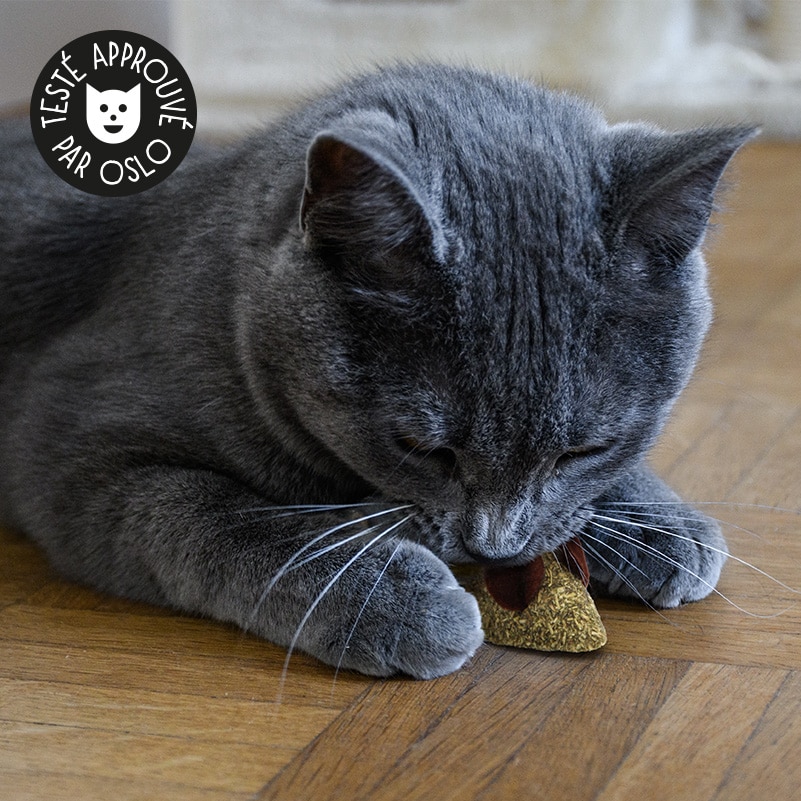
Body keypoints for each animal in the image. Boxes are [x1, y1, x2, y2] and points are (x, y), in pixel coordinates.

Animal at [0, 65, 752, 676]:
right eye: (421, 446)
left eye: (585, 449)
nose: (493, 547)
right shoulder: (71, 447)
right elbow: (224, 514)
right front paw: (386, 599)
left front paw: (658, 522)